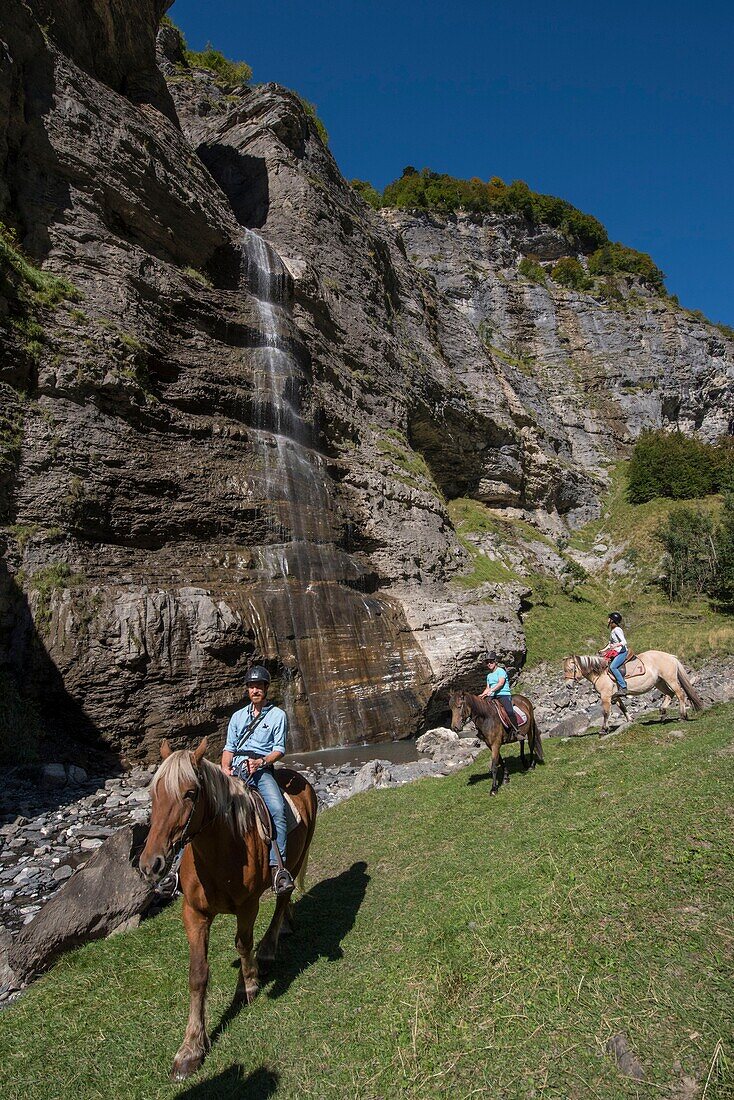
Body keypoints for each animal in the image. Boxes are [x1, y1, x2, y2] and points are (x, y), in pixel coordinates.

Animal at [139, 739, 316, 1082]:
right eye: (153, 794)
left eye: (190, 793)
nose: (151, 864)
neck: (222, 850)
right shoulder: (194, 913)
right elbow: (197, 974)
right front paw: (191, 1048)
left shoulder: (247, 906)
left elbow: (243, 944)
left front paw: (249, 984)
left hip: (298, 856)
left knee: (283, 897)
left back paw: (269, 948)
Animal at [563, 646, 704, 734]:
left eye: (570, 669)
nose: (568, 686)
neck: (600, 672)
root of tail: (671, 656)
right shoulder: (615, 696)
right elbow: (623, 708)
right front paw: (630, 721)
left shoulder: (606, 696)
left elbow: (606, 713)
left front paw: (603, 729)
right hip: (659, 682)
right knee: (670, 694)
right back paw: (663, 713)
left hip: (671, 680)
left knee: (680, 695)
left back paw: (682, 716)